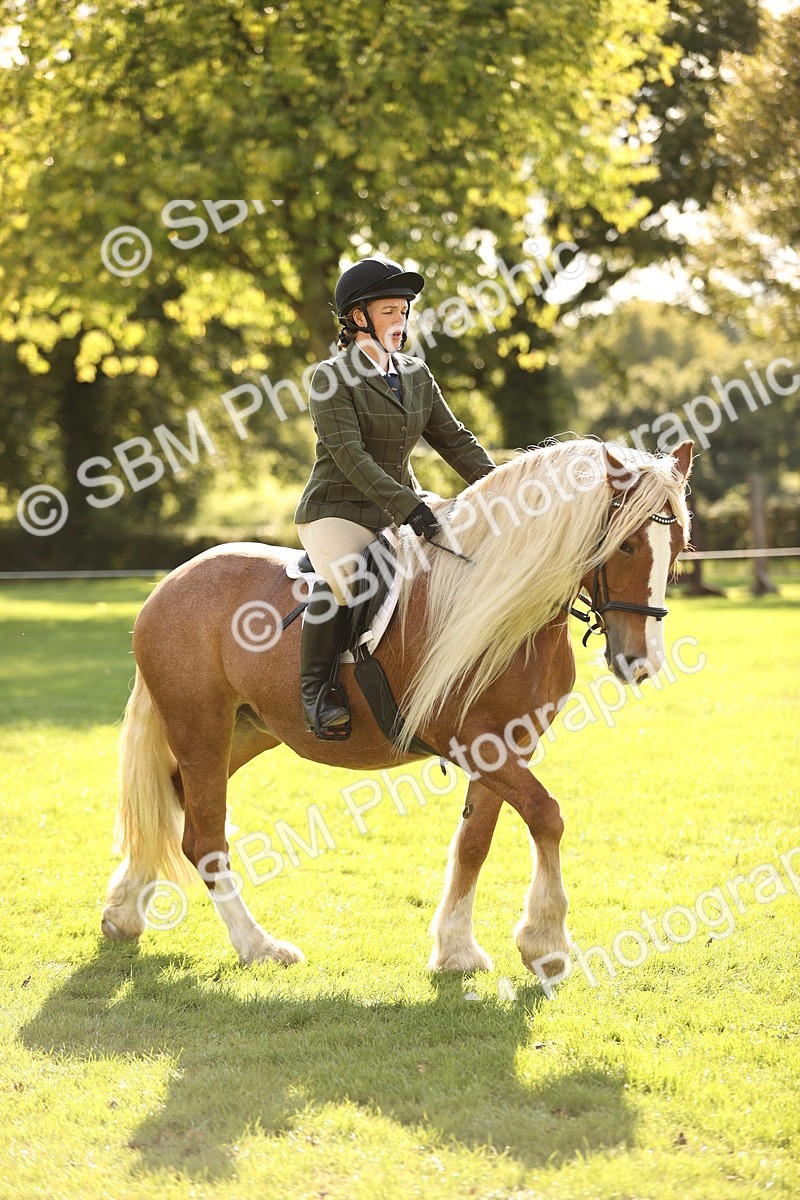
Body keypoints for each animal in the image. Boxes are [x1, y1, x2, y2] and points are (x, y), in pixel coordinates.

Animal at [102, 437, 693, 978]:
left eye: (680, 547)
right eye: (627, 546)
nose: (641, 662)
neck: (500, 605)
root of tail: (171, 583)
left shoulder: (508, 743)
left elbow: (475, 841)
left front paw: (456, 950)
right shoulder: (474, 742)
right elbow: (547, 815)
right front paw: (544, 943)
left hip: (244, 732)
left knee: (170, 801)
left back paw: (123, 913)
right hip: (200, 727)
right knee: (203, 839)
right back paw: (258, 946)